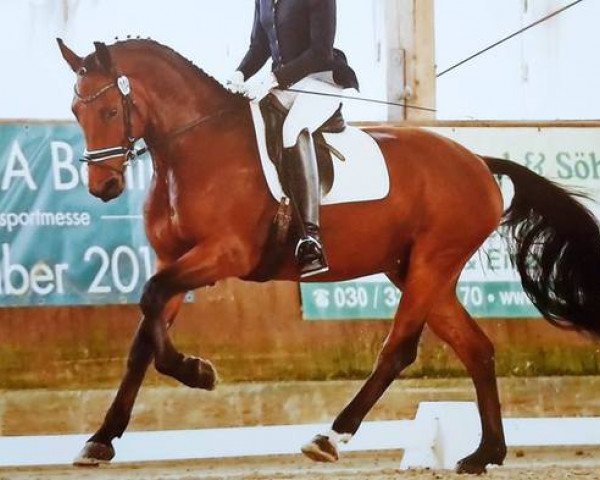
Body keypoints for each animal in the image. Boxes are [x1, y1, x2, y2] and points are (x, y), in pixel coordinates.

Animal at [57, 38, 600, 472]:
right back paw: (484, 453)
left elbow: (152, 303)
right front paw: (101, 440)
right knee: (477, 349)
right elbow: (143, 339)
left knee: (399, 349)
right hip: (418, 270)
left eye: (109, 112)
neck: (195, 149)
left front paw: (199, 372)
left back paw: (332, 436)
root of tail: (479, 164)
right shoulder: (173, 258)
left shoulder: (223, 254)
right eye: (76, 113)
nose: (103, 187)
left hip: (432, 262)